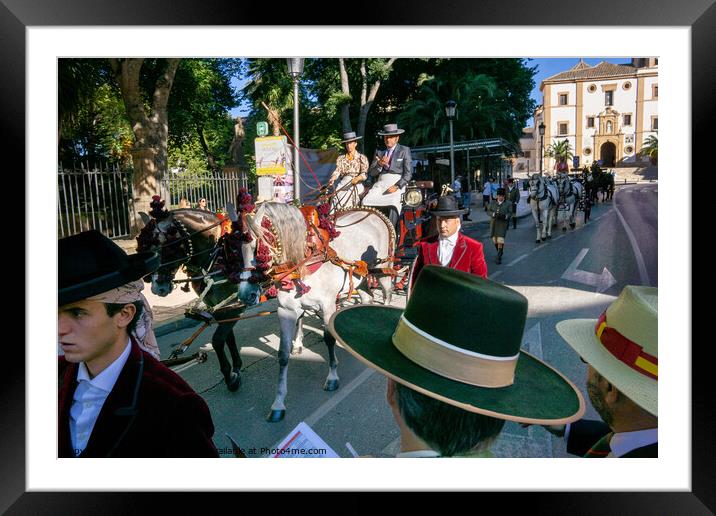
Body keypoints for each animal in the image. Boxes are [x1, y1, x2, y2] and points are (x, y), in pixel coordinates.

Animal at [236, 200, 394, 422]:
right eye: (238, 250)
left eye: (258, 250)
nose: (245, 294)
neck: (305, 260)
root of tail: (373, 212)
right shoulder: (286, 311)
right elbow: (282, 354)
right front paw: (278, 403)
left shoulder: (327, 306)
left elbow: (329, 339)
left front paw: (332, 377)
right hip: (361, 279)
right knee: (367, 298)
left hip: (384, 271)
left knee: (386, 294)